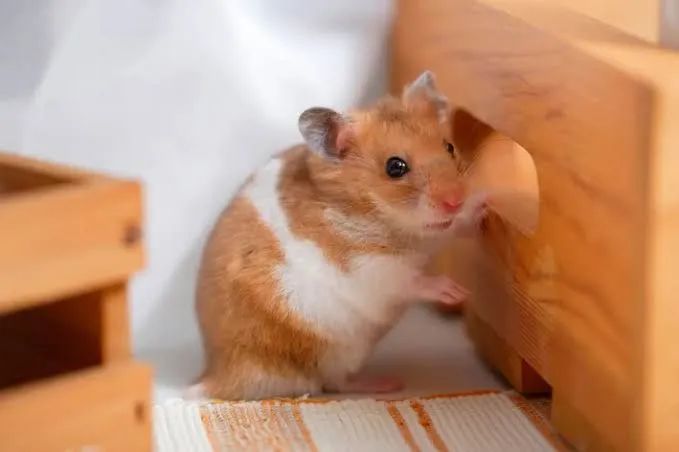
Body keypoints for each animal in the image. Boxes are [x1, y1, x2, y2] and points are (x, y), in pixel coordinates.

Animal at [194, 71, 487, 400]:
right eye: (395, 167)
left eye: (449, 146)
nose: (455, 200)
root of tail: (216, 376)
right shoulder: (370, 268)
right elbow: (410, 280)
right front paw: (456, 292)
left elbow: (455, 226)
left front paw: (483, 209)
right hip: (330, 352)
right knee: (334, 382)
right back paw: (387, 383)